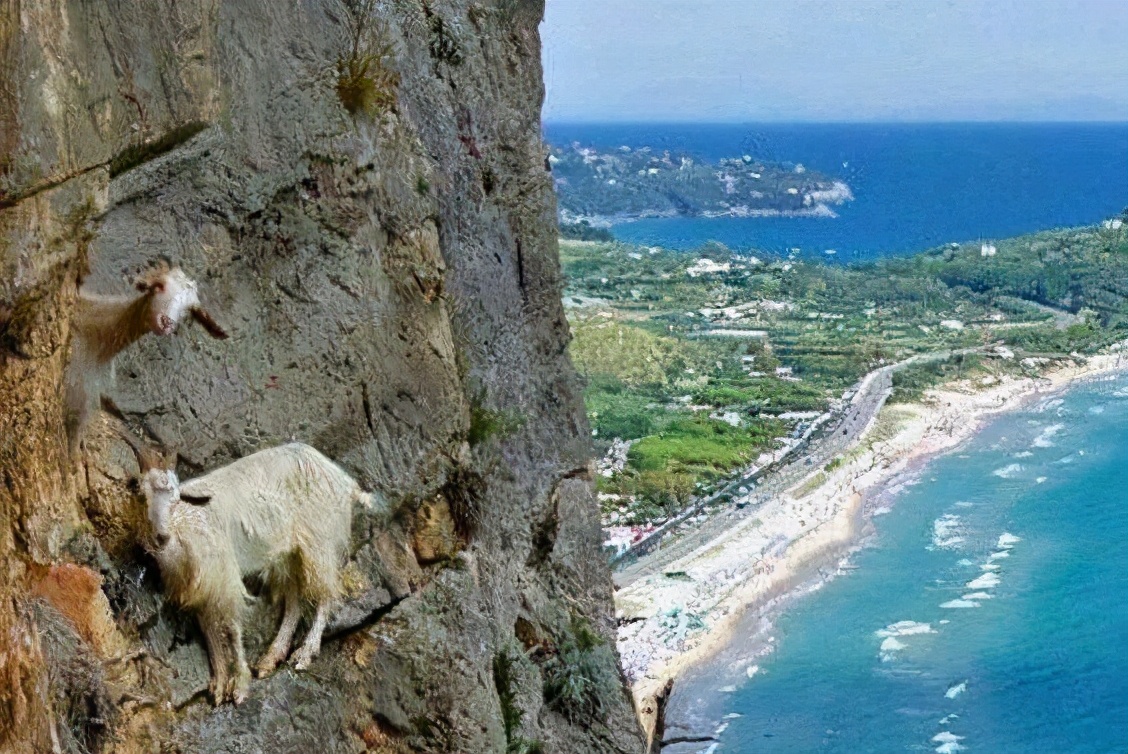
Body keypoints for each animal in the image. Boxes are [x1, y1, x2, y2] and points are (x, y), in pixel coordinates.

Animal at [129, 442, 365, 708]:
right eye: (141, 493)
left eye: (176, 499)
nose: (161, 537)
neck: (187, 527)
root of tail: (343, 479)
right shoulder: (203, 589)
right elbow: (209, 630)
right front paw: (219, 686)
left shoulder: (225, 577)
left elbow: (232, 627)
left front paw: (239, 687)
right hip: (290, 553)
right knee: (294, 602)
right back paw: (269, 659)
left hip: (319, 540)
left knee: (327, 594)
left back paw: (304, 655)